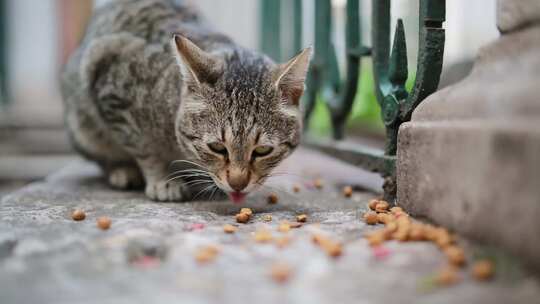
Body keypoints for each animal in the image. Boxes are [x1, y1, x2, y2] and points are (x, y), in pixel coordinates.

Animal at [60, 0, 310, 204]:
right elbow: (143, 147)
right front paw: (161, 178)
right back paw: (122, 169)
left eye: (263, 150)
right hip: (82, 126)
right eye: (217, 147)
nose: (238, 184)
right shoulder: (109, 76)